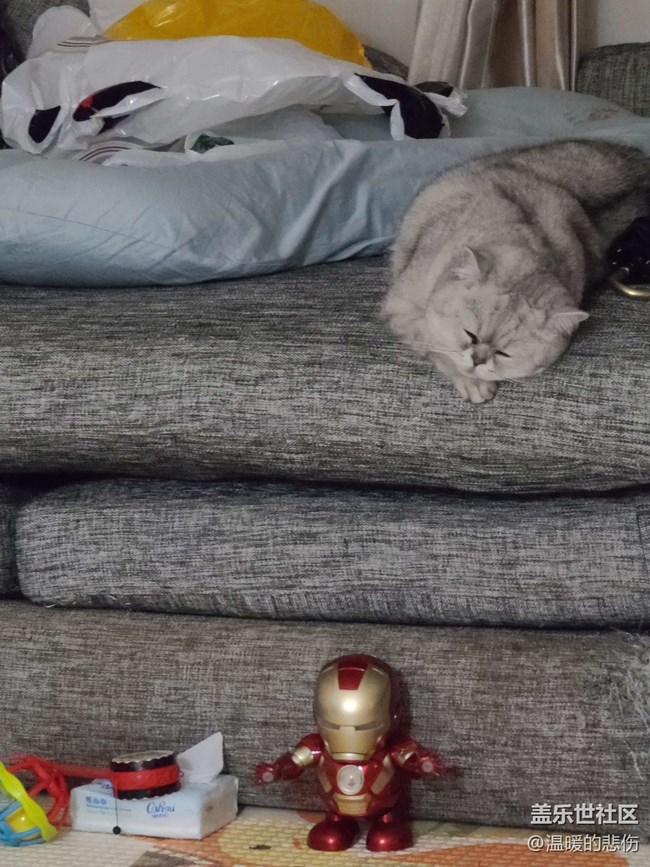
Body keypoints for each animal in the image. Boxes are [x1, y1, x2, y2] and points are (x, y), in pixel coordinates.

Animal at [382, 140, 650, 403]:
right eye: (470, 335)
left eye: (504, 354)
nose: (477, 360)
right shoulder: (401, 309)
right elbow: (437, 344)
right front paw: (472, 381)